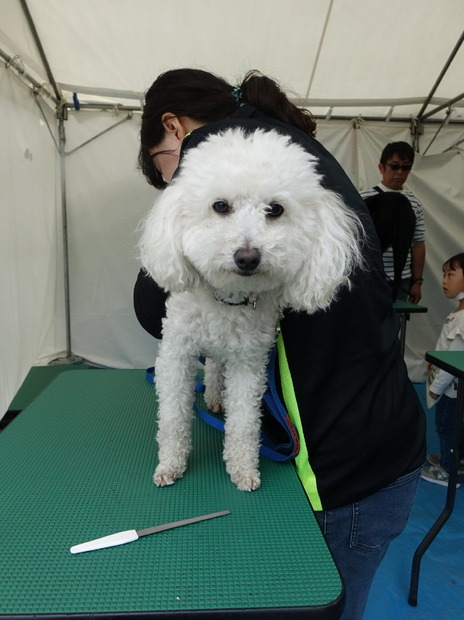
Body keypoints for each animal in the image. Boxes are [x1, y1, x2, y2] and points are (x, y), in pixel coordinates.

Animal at [140, 128, 364, 492]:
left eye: (275, 209)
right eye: (220, 206)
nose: (247, 257)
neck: (228, 301)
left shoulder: (249, 363)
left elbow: (245, 421)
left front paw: (243, 468)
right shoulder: (177, 352)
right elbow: (173, 416)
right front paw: (171, 464)